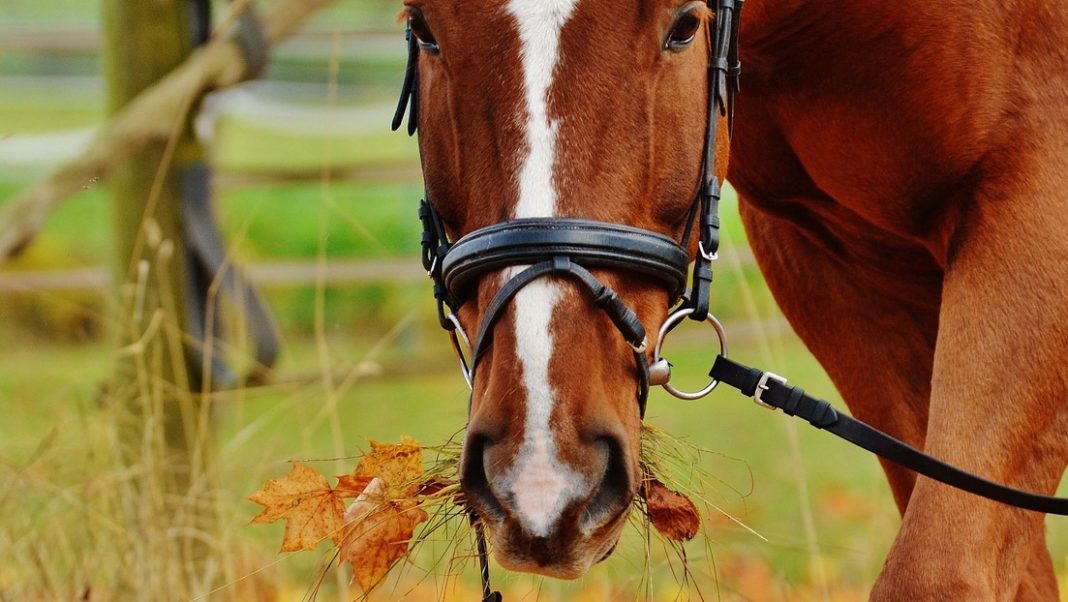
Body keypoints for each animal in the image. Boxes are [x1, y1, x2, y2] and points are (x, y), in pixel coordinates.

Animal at [397, 0, 1068, 597]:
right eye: (423, 29)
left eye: (685, 27)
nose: (543, 475)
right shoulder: (826, 260)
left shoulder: (1036, 207)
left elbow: (938, 573)